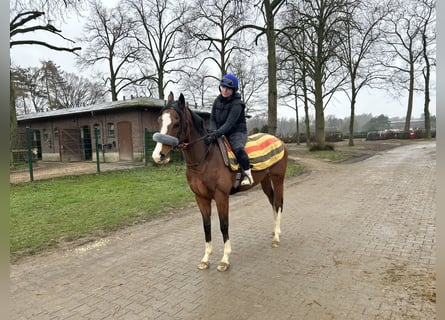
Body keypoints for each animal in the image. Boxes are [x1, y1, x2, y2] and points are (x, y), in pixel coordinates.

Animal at [153, 92, 288, 272]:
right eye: (159, 120)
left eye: (176, 123)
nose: (158, 155)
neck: (204, 159)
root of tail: (280, 141)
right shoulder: (201, 198)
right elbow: (206, 226)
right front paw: (205, 259)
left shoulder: (221, 196)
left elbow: (224, 225)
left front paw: (224, 259)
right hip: (265, 181)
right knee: (273, 202)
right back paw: (274, 232)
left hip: (278, 178)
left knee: (278, 203)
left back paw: (277, 237)